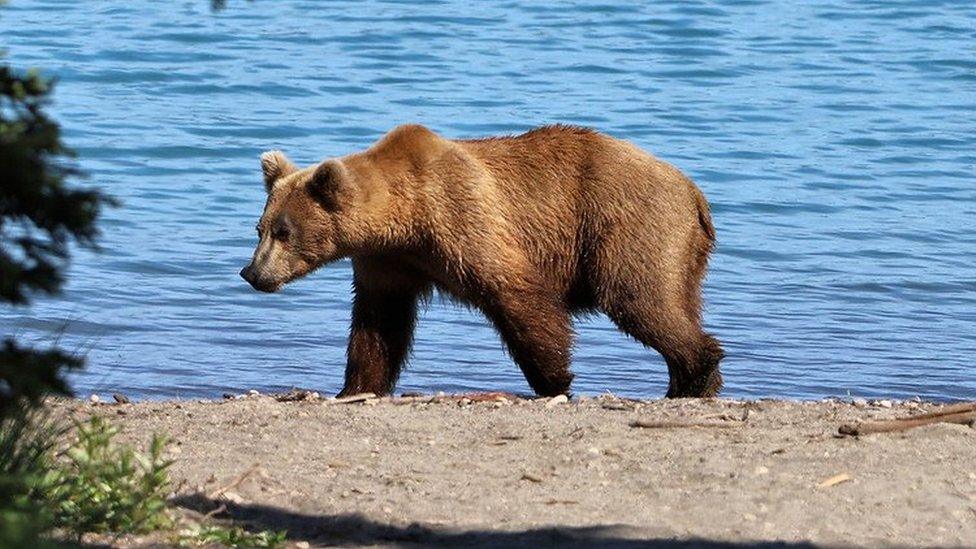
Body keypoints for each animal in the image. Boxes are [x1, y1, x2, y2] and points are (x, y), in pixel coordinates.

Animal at [240, 124, 720, 398]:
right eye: (260, 227)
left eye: (284, 232)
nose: (252, 273)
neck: (406, 216)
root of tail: (692, 189)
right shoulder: (389, 262)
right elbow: (379, 325)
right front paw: (356, 387)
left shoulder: (464, 217)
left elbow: (517, 294)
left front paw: (554, 379)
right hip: (681, 251)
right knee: (676, 300)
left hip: (629, 227)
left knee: (639, 298)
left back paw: (696, 372)